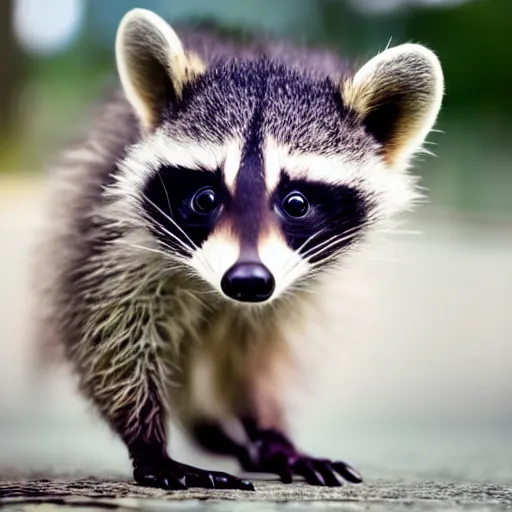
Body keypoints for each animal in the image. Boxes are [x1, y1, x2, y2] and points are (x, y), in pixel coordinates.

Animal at [38, 7, 442, 488]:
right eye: (205, 199)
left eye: (296, 203)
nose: (247, 281)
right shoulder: (111, 232)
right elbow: (109, 333)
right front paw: (148, 440)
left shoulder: (300, 290)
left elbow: (265, 356)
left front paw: (270, 429)